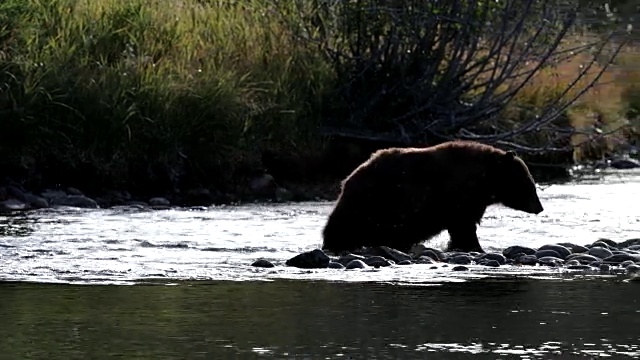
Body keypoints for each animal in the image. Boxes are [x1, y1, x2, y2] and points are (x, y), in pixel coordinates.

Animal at [320, 139, 544, 255]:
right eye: (529, 185)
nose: (539, 207)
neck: (484, 181)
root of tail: (349, 178)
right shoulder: (458, 197)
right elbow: (463, 226)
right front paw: (473, 246)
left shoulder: (472, 201)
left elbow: (463, 226)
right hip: (375, 201)